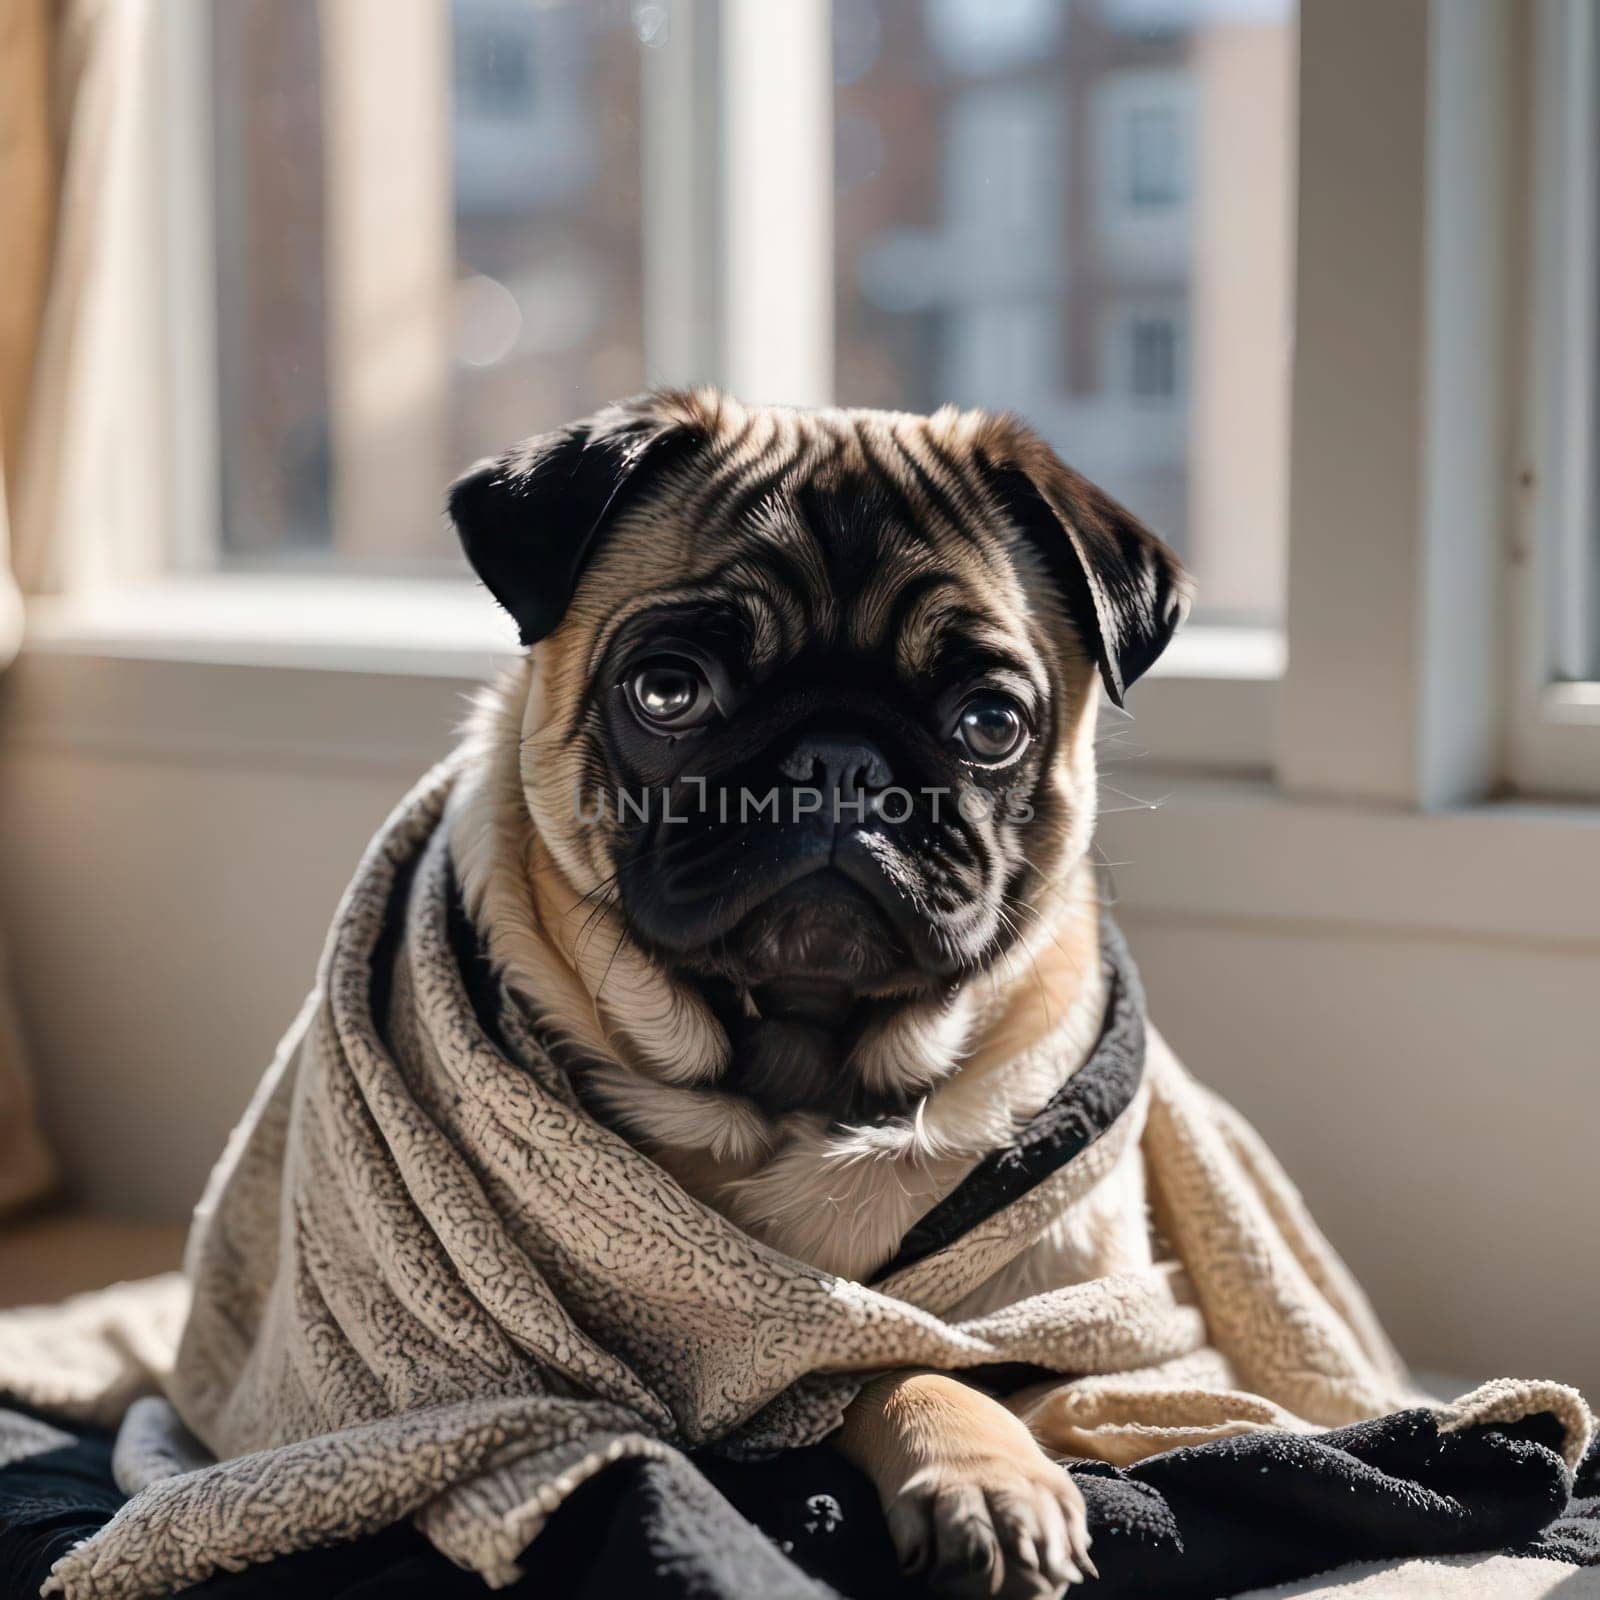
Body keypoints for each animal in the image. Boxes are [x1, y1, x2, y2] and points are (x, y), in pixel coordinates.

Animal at [451, 390, 1190, 1600]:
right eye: (667, 690)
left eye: (991, 723)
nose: (838, 762)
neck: (800, 1068)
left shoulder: (1096, 1343)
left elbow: (975, 1367)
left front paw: (991, 1472)